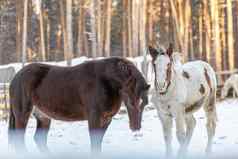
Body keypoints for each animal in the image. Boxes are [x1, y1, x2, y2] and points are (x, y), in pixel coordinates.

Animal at [8, 56, 150, 154]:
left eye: (145, 103)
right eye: (130, 101)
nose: (136, 127)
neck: (105, 82)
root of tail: (15, 78)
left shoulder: (106, 119)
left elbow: (98, 144)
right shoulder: (94, 118)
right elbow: (94, 145)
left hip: (43, 117)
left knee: (39, 140)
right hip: (22, 115)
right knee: (19, 141)